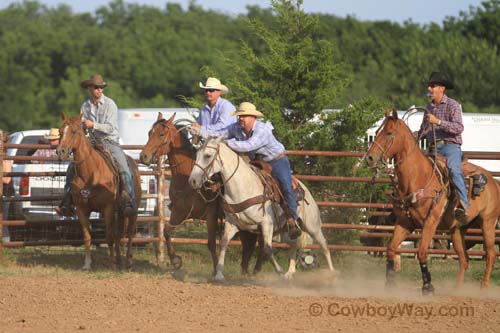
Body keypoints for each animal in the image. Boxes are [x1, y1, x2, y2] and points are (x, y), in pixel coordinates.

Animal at [57, 113, 142, 268]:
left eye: (74, 132)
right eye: (60, 132)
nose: (61, 151)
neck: (90, 172)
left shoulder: (107, 208)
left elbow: (109, 236)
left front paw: (111, 264)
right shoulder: (81, 209)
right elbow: (87, 237)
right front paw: (87, 264)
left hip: (133, 210)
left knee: (130, 233)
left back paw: (128, 261)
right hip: (119, 212)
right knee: (119, 234)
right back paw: (119, 260)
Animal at [139, 113, 260, 274]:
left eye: (161, 134)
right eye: (149, 133)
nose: (143, 156)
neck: (186, 178)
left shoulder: (211, 215)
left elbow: (211, 243)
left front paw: (216, 270)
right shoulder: (179, 212)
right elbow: (166, 231)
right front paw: (175, 260)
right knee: (249, 243)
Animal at [188, 136, 336, 280]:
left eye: (207, 155)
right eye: (197, 154)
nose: (192, 181)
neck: (243, 187)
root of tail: (304, 188)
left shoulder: (266, 224)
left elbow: (268, 249)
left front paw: (279, 273)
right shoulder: (232, 223)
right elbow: (224, 243)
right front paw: (219, 273)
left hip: (312, 226)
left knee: (324, 245)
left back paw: (331, 273)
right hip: (284, 232)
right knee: (294, 245)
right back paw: (290, 273)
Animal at [364, 107, 500, 292]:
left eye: (389, 133)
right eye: (377, 132)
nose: (369, 158)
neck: (417, 177)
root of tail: (494, 181)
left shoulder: (430, 221)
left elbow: (422, 252)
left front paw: (428, 286)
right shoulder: (405, 222)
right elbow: (391, 249)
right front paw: (390, 283)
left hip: (487, 222)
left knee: (490, 255)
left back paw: (483, 288)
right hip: (458, 229)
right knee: (464, 260)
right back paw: (456, 290)